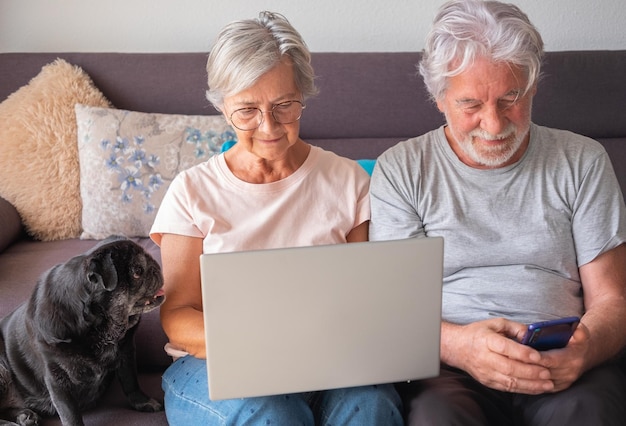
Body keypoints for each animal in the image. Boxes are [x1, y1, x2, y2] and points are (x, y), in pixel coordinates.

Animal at [0, 236, 165, 426]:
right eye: (137, 271)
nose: (156, 266)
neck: (103, 328)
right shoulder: (57, 379)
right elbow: (70, 413)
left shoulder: (126, 353)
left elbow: (130, 382)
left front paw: (142, 402)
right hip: (2, 369)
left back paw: (24, 416)